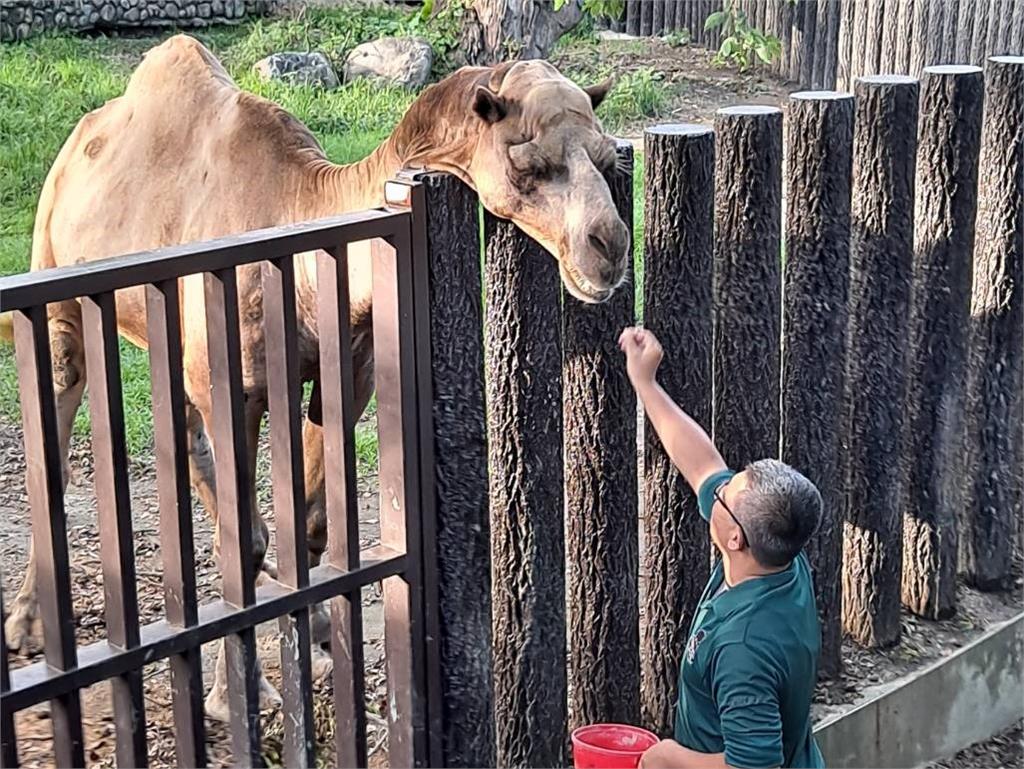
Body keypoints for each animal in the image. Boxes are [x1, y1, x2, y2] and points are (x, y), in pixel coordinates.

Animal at [4, 34, 626, 720]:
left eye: (609, 160)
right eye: (529, 165)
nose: (610, 246)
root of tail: (77, 139)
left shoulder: (346, 378)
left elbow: (309, 525)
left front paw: (320, 644)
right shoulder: (235, 386)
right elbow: (245, 539)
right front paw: (238, 694)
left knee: (184, 437)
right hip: (54, 270)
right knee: (62, 410)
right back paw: (26, 626)